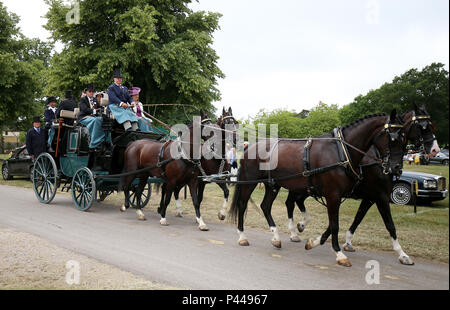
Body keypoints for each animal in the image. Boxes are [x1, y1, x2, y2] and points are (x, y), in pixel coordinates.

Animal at [230, 109, 402, 266]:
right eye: (393, 138)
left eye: (404, 136)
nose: (396, 168)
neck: (341, 151)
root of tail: (249, 148)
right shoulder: (338, 195)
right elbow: (336, 224)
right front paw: (339, 253)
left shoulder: (351, 196)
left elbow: (339, 222)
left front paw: (314, 242)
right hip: (250, 181)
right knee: (242, 204)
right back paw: (242, 236)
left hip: (274, 184)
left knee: (266, 206)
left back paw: (276, 238)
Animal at [284, 105, 440, 266]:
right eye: (423, 126)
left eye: (431, 125)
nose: (436, 149)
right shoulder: (379, 196)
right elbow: (389, 224)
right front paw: (402, 253)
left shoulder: (368, 197)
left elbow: (355, 218)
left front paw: (332, 241)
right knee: (290, 203)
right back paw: (293, 232)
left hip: (306, 188)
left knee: (295, 201)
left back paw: (300, 226)